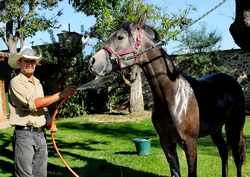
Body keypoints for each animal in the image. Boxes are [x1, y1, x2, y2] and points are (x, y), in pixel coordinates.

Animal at [88, 18, 246, 176]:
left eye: (120, 37)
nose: (92, 62)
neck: (172, 95)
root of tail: (232, 81)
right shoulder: (166, 142)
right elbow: (175, 171)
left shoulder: (190, 143)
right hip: (216, 129)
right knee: (224, 151)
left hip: (234, 127)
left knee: (237, 156)